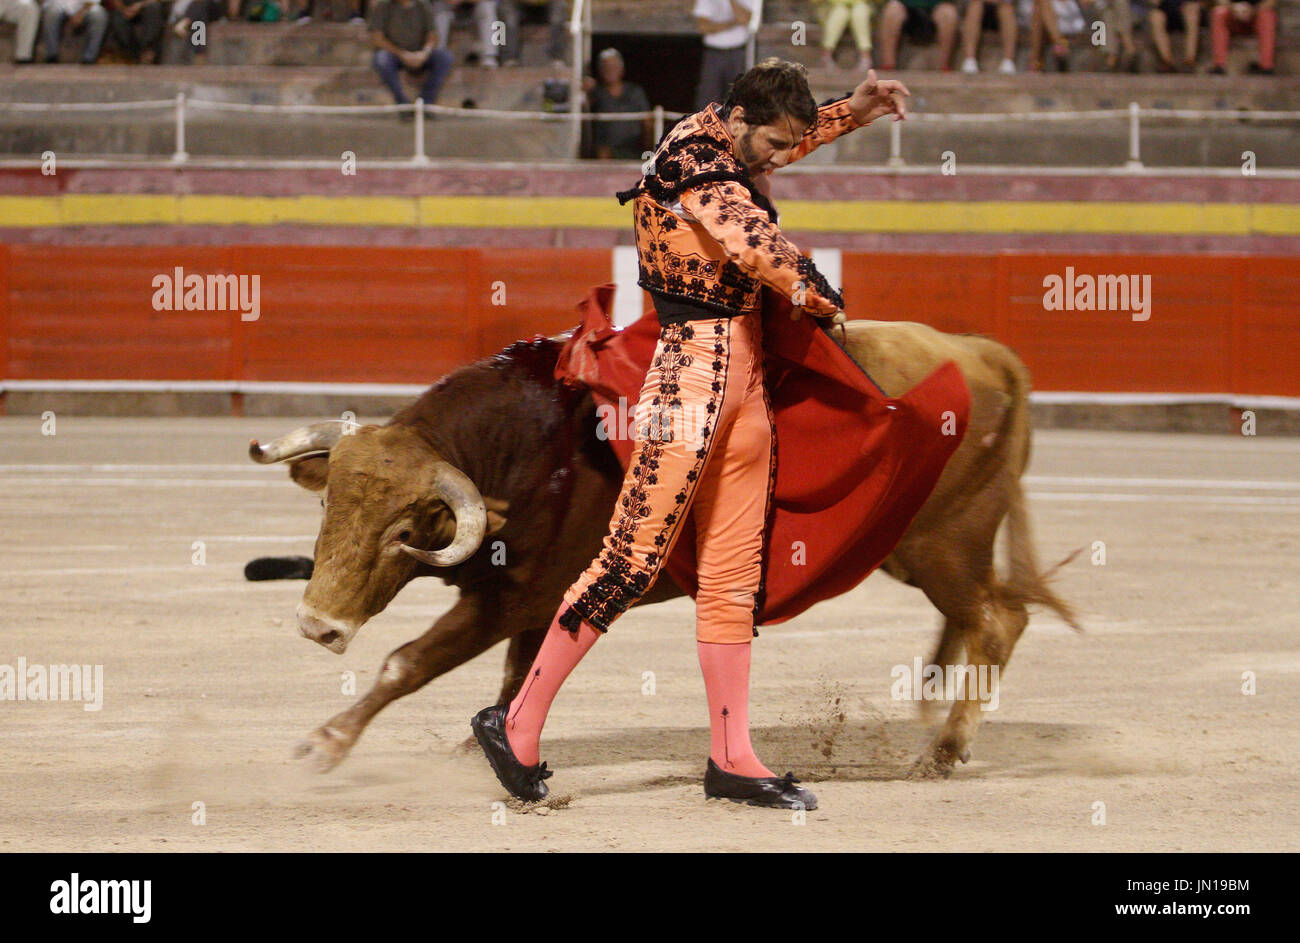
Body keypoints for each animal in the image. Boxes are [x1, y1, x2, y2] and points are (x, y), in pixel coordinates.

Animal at [245, 319, 1076, 775]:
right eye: (326, 503)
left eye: (405, 530)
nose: (317, 625)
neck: (531, 444)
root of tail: (982, 353)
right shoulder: (534, 601)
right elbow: (516, 676)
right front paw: (493, 744)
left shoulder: (507, 599)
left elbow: (406, 662)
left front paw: (324, 743)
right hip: (914, 549)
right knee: (974, 619)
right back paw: (934, 717)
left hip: (946, 542)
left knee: (997, 619)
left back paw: (943, 750)